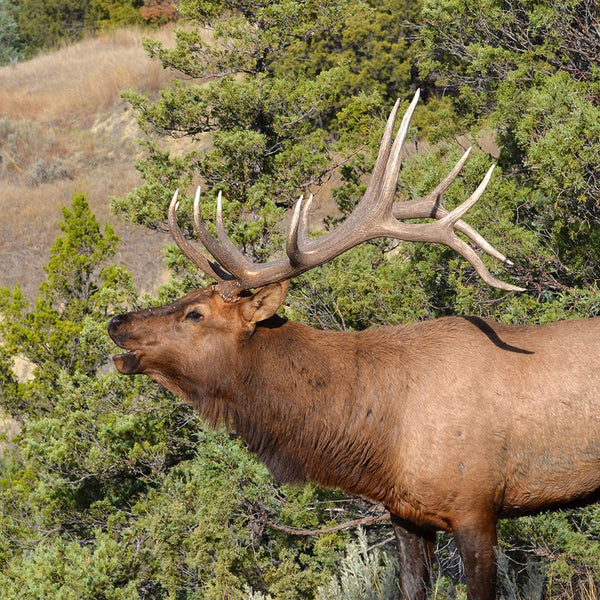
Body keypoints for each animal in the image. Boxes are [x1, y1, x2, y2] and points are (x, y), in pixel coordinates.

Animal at [108, 90, 600, 600]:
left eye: (196, 314)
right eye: (185, 297)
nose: (116, 321)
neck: (380, 433)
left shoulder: (476, 506)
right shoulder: (406, 513)